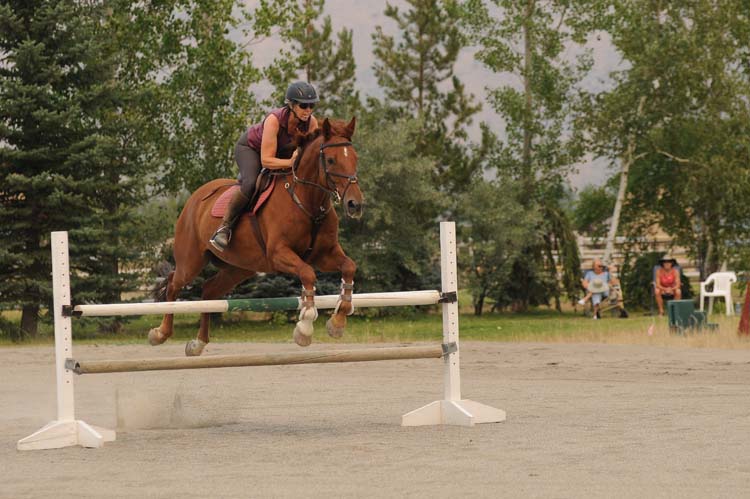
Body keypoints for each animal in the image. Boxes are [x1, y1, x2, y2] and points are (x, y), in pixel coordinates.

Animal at [149, 118, 364, 356]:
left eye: (355, 158)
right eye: (331, 160)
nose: (354, 204)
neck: (307, 202)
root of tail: (195, 198)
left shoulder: (324, 255)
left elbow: (349, 267)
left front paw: (337, 322)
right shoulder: (279, 254)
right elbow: (308, 274)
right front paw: (305, 328)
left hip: (239, 267)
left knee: (208, 291)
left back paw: (198, 343)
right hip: (191, 261)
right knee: (173, 284)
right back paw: (160, 333)